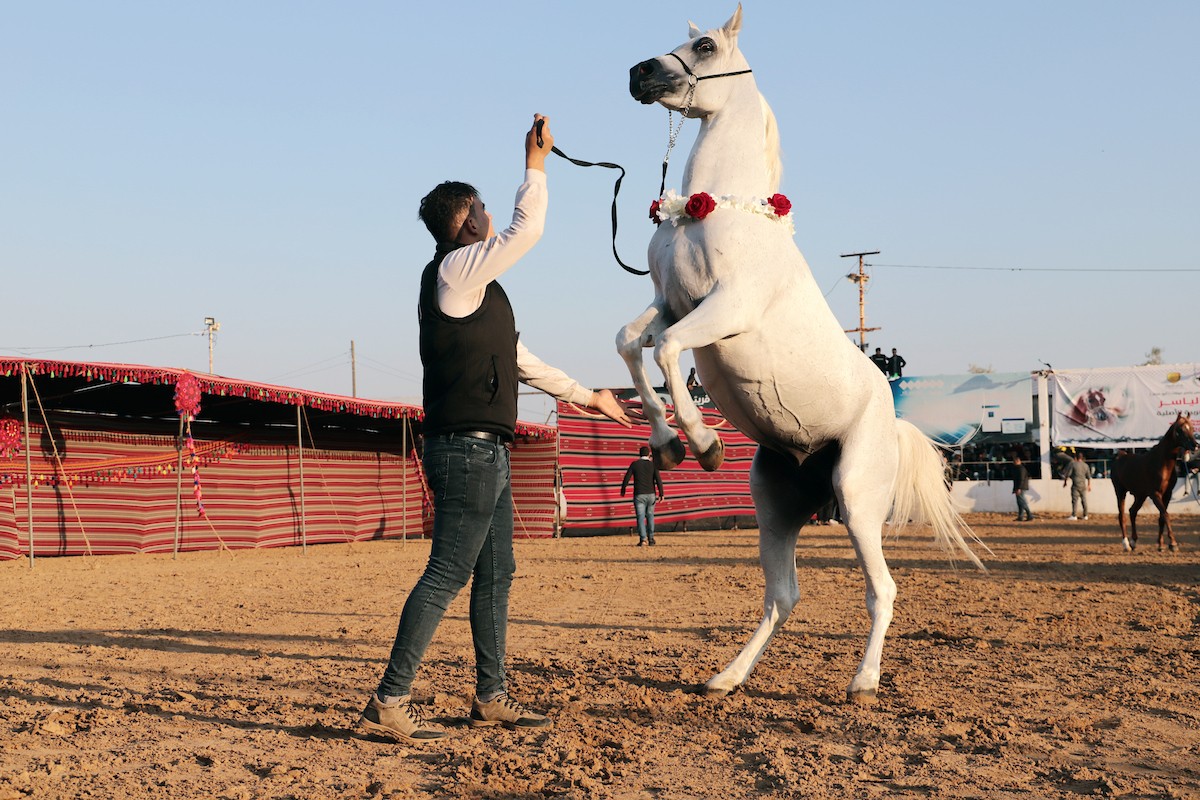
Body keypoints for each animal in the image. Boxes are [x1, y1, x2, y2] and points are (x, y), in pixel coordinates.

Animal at [619, 7, 984, 705]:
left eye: (704, 46)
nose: (639, 73)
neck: (713, 214)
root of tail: (891, 422)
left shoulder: (725, 311)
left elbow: (669, 352)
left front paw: (703, 443)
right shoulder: (669, 304)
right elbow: (630, 342)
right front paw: (669, 444)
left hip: (858, 501)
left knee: (882, 590)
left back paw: (863, 683)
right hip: (775, 505)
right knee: (782, 596)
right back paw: (726, 678)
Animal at [1108, 412, 1195, 551]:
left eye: (1192, 428)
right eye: (1180, 430)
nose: (1195, 445)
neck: (1162, 463)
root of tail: (1119, 456)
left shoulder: (1167, 494)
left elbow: (1161, 518)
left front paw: (1160, 545)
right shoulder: (1155, 494)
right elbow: (1166, 514)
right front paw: (1173, 543)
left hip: (1140, 495)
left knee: (1132, 511)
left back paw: (1134, 541)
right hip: (1120, 492)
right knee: (1122, 516)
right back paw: (1126, 544)